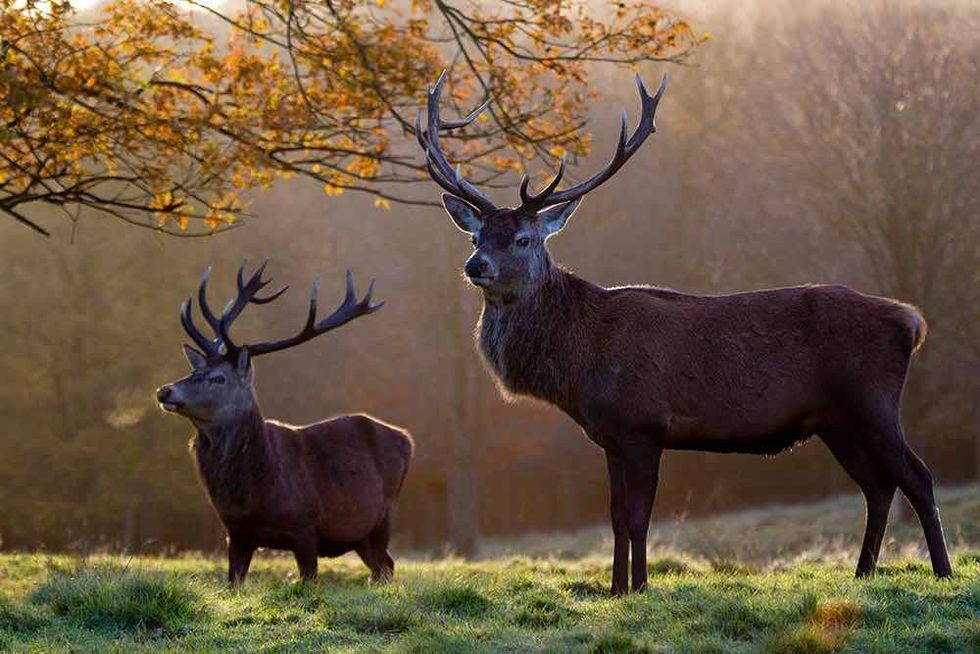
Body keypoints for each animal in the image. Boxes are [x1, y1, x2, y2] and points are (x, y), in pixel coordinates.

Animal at [156, 261, 413, 586]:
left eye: (218, 378)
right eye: (193, 371)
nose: (165, 391)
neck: (257, 491)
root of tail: (407, 439)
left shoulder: (306, 527)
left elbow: (309, 580)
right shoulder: (236, 533)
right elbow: (233, 582)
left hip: (384, 515)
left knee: (384, 565)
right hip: (360, 534)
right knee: (385, 565)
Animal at [416, 71, 952, 595]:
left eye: (524, 239)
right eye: (476, 235)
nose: (476, 265)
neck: (581, 363)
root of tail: (911, 321)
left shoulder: (644, 424)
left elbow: (638, 517)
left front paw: (641, 586)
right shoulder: (609, 435)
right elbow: (615, 517)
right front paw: (617, 589)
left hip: (871, 401)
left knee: (918, 476)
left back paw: (943, 572)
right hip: (835, 420)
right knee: (877, 486)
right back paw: (863, 573)